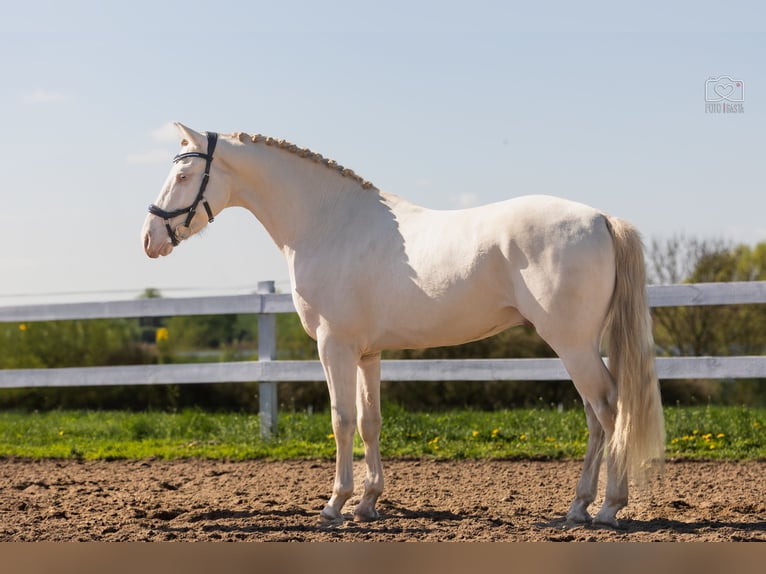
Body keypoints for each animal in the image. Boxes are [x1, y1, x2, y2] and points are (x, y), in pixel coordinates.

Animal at [142, 124, 664, 528]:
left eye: (184, 175)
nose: (149, 240)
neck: (328, 222)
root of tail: (600, 219)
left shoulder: (334, 346)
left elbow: (341, 419)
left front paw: (334, 504)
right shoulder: (368, 354)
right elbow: (370, 421)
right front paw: (368, 503)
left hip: (572, 345)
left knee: (611, 410)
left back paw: (608, 509)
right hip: (581, 346)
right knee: (597, 417)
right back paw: (578, 508)